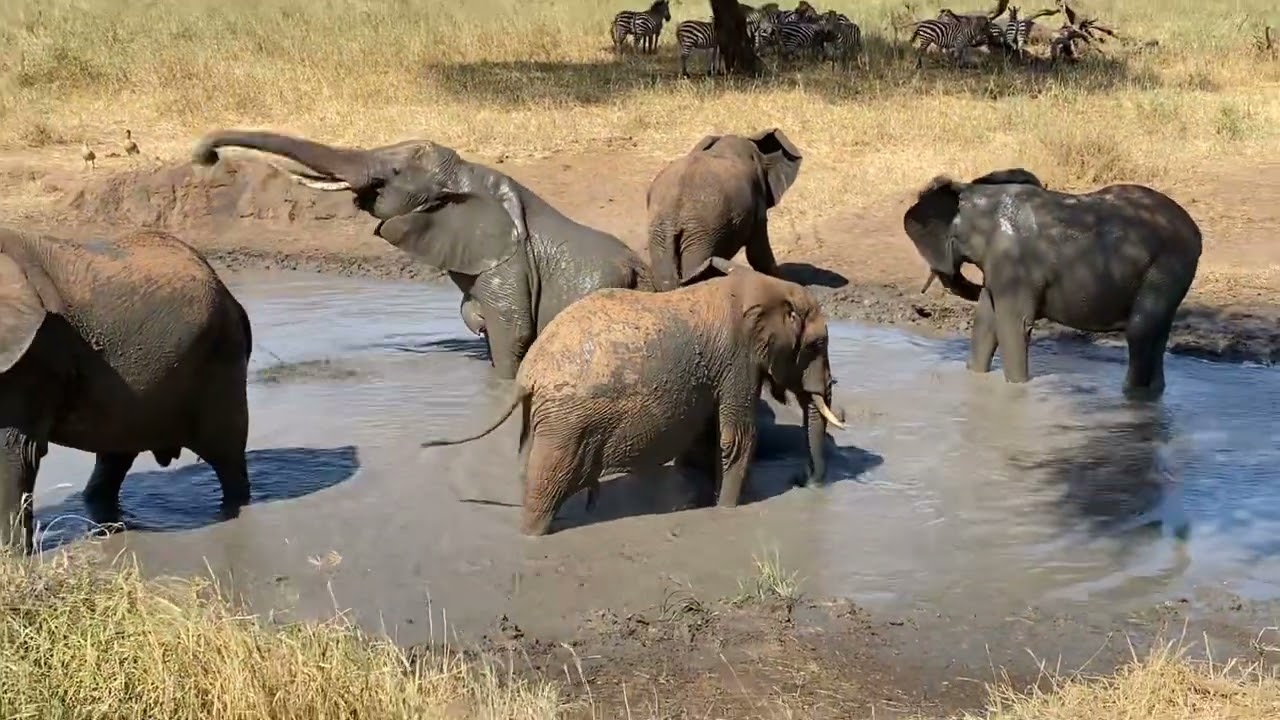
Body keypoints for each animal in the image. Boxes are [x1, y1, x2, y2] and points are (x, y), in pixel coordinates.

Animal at [0, 227, 253, 552]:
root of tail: (233, 299)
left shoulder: (29, 361)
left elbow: (14, 450)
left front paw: (13, 556)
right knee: (116, 456)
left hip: (222, 360)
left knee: (227, 458)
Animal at [420, 257, 845, 536]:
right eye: (817, 344)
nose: (804, 481)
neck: (765, 287)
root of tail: (529, 375)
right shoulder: (738, 359)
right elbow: (737, 438)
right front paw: (726, 511)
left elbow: (711, 438)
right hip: (566, 423)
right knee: (548, 481)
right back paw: (533, 535)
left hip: (543, 417)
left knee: (528, 467)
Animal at [904, 167, 1202, 398]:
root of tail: (1196, 232)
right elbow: (986, 323)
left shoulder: (1013, 261)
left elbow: (1013, 325)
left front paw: (1017, 390)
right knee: (1157, 333)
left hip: (1168, 263)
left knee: (1140, 331)